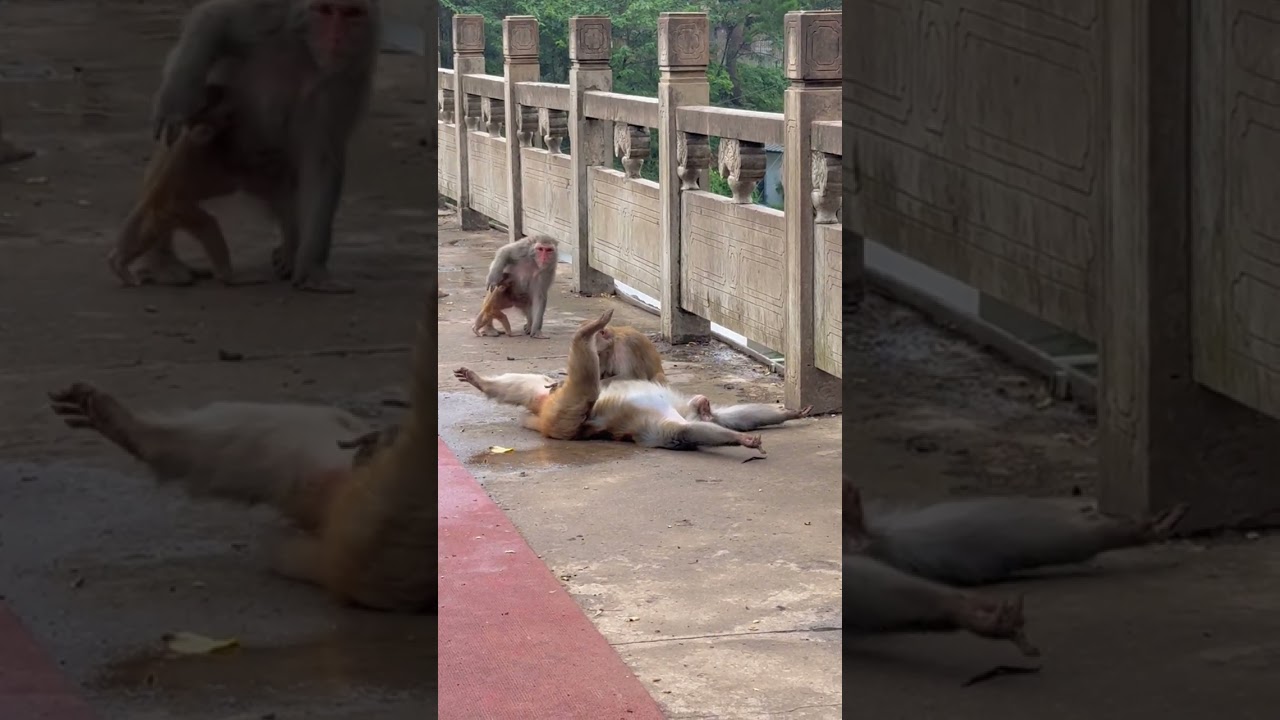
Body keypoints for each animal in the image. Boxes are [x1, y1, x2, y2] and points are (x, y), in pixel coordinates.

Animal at [139, 0, 382, 293]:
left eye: (351, 13)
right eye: (325, 10)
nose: (336, 37)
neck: (308, 55)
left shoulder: (343, 85)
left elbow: (321, 162)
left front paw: (313, 267)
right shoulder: (274, 16)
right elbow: (215, 19)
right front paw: (175, 98)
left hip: (272, 176)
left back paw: (290, 247)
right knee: (173, 169)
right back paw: (162, 261)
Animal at [454, 309, 811, 453]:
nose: (703, 404)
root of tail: (541, 417)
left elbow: (732, 418)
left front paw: (789, 413)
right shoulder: (663, 427)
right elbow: (686, 433)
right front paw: (742, 441)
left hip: (556, 408)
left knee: (533, 386)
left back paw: (482, 382)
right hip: (563, 413)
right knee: (584, 386)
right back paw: (585, 333)